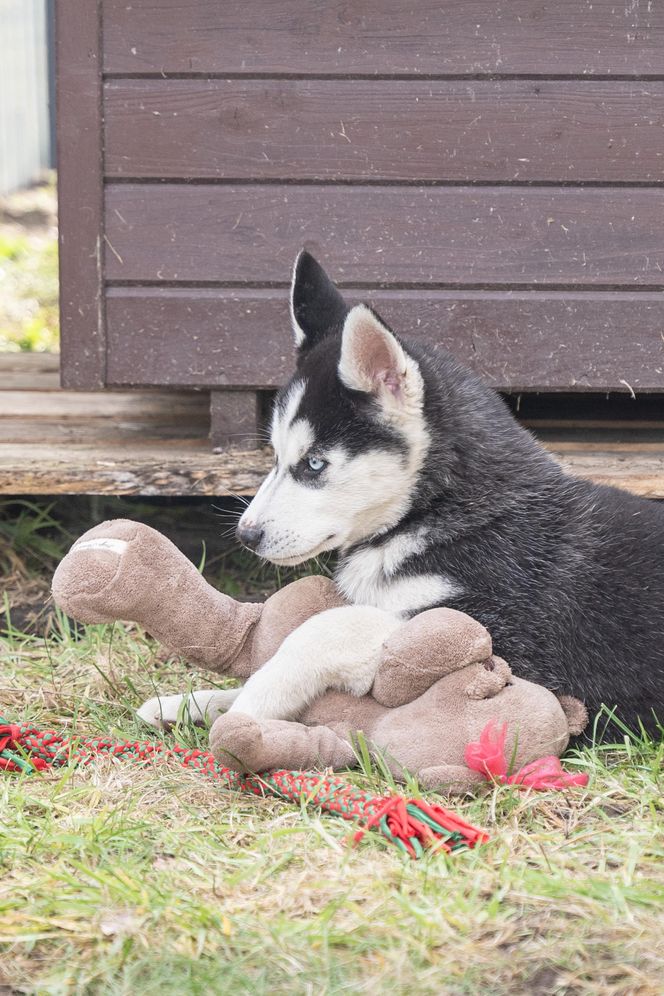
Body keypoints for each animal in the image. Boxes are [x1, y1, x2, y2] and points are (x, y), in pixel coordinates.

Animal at [143, 249, 660, 732]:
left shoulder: (502, 634)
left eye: (314, 463)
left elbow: (329, 625)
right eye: (274, 456)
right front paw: (191, 703)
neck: (442, 512)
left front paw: (250, 705)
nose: (246, 536)